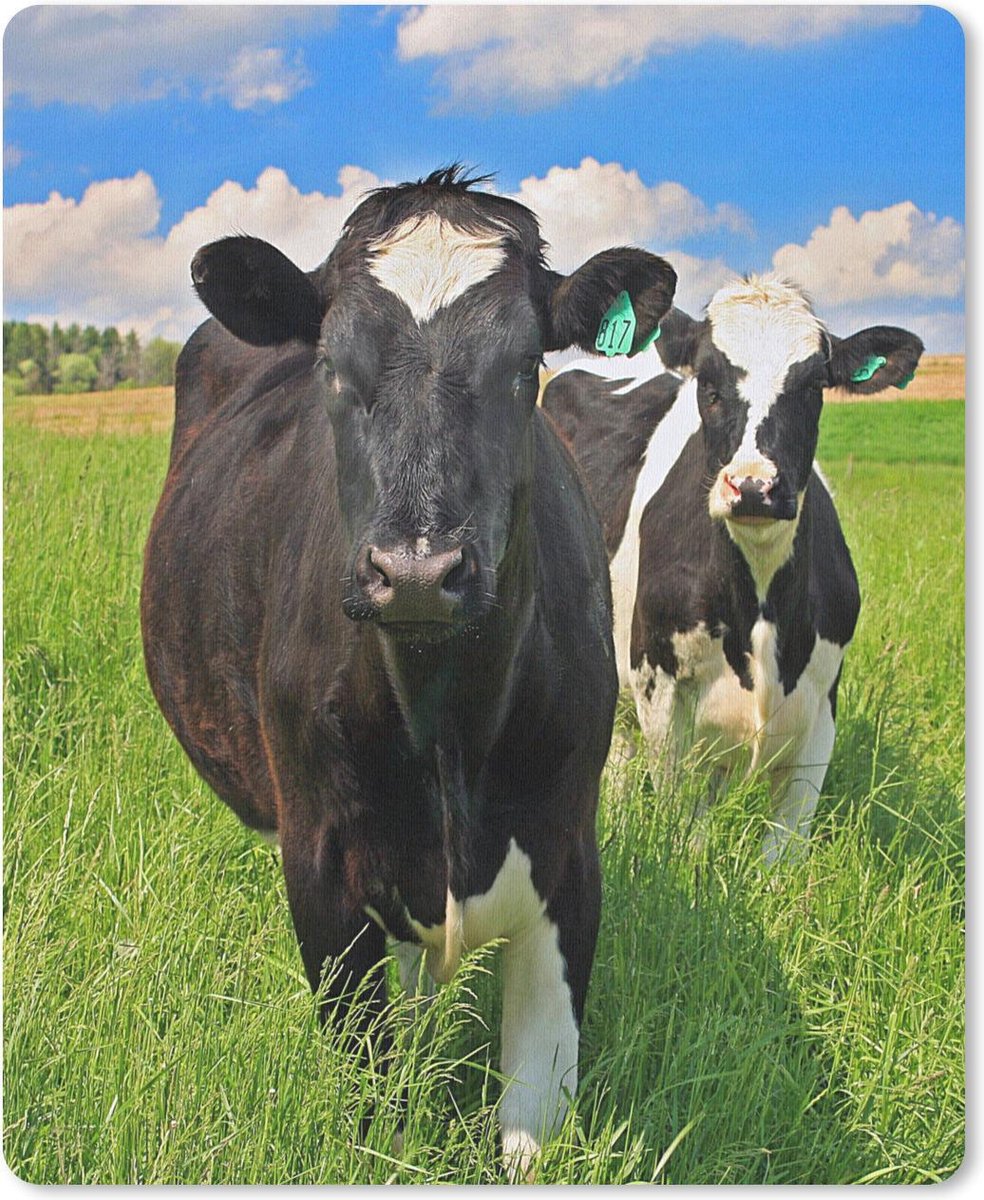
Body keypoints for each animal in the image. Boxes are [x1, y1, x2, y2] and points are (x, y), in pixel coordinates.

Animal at [140, 167, 677, 1176]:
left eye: (526, 368)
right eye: (332, 366)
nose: (419, 570)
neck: (445, 723)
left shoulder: (568, 858)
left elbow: (535, 1118)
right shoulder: (321, 867)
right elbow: (373, 1101)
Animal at [542, 274, 923, 863]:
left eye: (814, 386)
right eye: (709, 384)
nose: (753, 486)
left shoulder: (822, 702)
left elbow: (784, 849)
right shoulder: (660, 687)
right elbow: (684, 824)